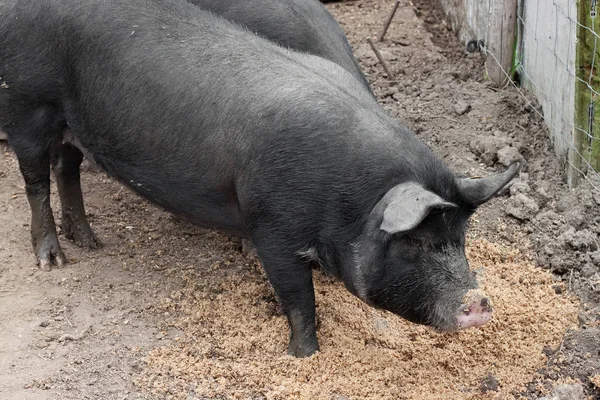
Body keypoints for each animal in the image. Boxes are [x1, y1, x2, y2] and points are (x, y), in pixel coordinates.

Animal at [0, 0, 516, 356]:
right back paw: (54, 261)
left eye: (460, 239)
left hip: (73, 123)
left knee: (66, 169)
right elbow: (298, 298)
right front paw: (303, 356)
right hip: (27, 103)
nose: (479, 302)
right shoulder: (272, 225)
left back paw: (90, 242)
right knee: (36, 180)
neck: (349, 200)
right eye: (416, 242)